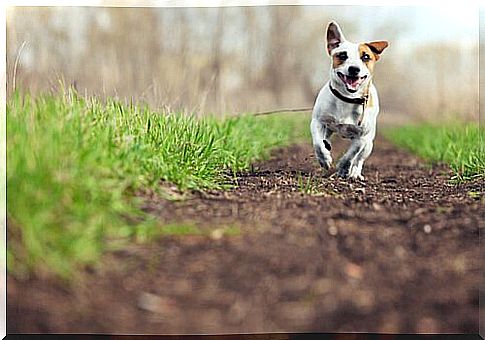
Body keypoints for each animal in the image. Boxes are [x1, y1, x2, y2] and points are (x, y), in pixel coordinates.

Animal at [310, 20, 390, 181]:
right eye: (342, 55)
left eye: (366, 57)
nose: (354, 69)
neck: (347, 98)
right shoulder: (317, 121)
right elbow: (318, 144)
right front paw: (324, 159)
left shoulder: (362, 137)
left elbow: (351, 155)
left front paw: (343, 169)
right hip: (329, 128)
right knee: (325, 139)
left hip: (369, 144)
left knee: (359, 159)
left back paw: (355, 173)